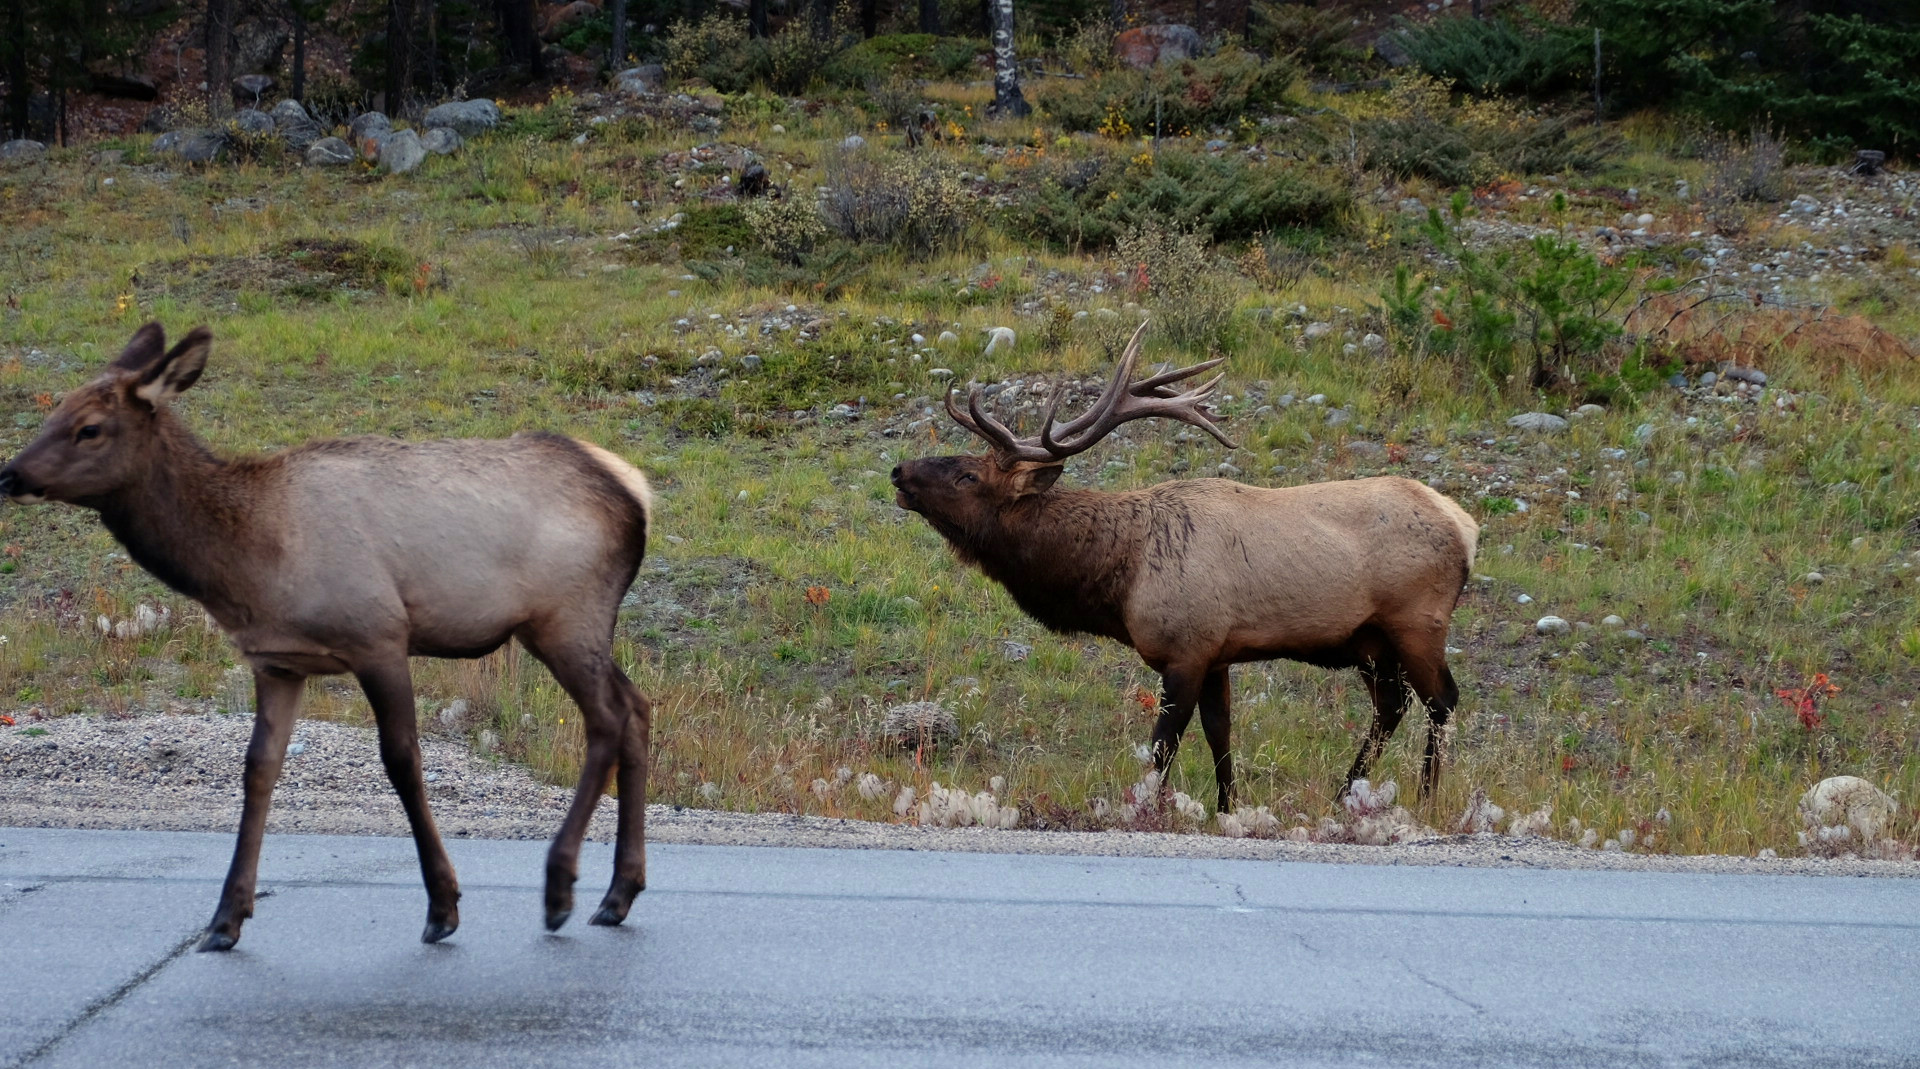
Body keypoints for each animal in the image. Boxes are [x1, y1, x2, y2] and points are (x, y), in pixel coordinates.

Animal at [0, 320, 652, 948]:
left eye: (89, 427)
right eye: (55, 410)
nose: (10, 474)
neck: (247, 564)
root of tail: (635, 492)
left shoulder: (378, 635)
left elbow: (402, 759)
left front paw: (442, 907)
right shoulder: (276, 660)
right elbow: (259, 768)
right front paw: (225, 918)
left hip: (566, 615)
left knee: (606, 718)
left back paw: (561, 889)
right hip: (574, 627)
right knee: (637, 705)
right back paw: (618, 894)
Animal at [890, 320, 1474, 813]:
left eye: (968, 476)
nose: (898, 471)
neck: (1118, 580)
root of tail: (1467, 527)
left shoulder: (1186, 649)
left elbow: (1163, 746)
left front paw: (1148, 807)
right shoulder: (1218, 651)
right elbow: (1220, 734)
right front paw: (1227, 807)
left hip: (1416, 621)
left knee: (1441, 700)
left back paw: (1425, 798)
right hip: (1370, 642)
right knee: (1392, 705)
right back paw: (1342, 794)